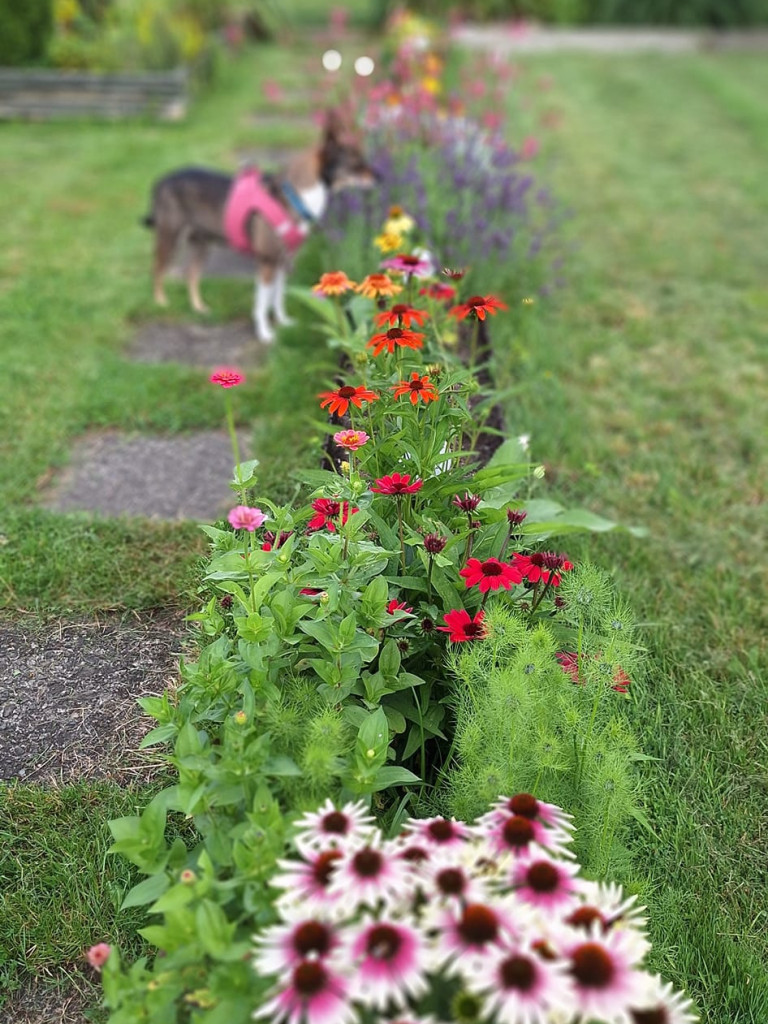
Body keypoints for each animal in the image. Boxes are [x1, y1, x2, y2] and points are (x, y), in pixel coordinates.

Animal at [142, 107, 378, 342]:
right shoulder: (267, 263)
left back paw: (199, 307)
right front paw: (265, 333)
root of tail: (161, 181)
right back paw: (161, 302)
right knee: (157, 269)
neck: (295, 196)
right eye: (356, 164)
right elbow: (263, 303)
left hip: (201, 242)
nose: (379, 177)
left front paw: (283, 322)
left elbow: (277, 297)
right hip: (169, 237)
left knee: (191, 274)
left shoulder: (281, 263)